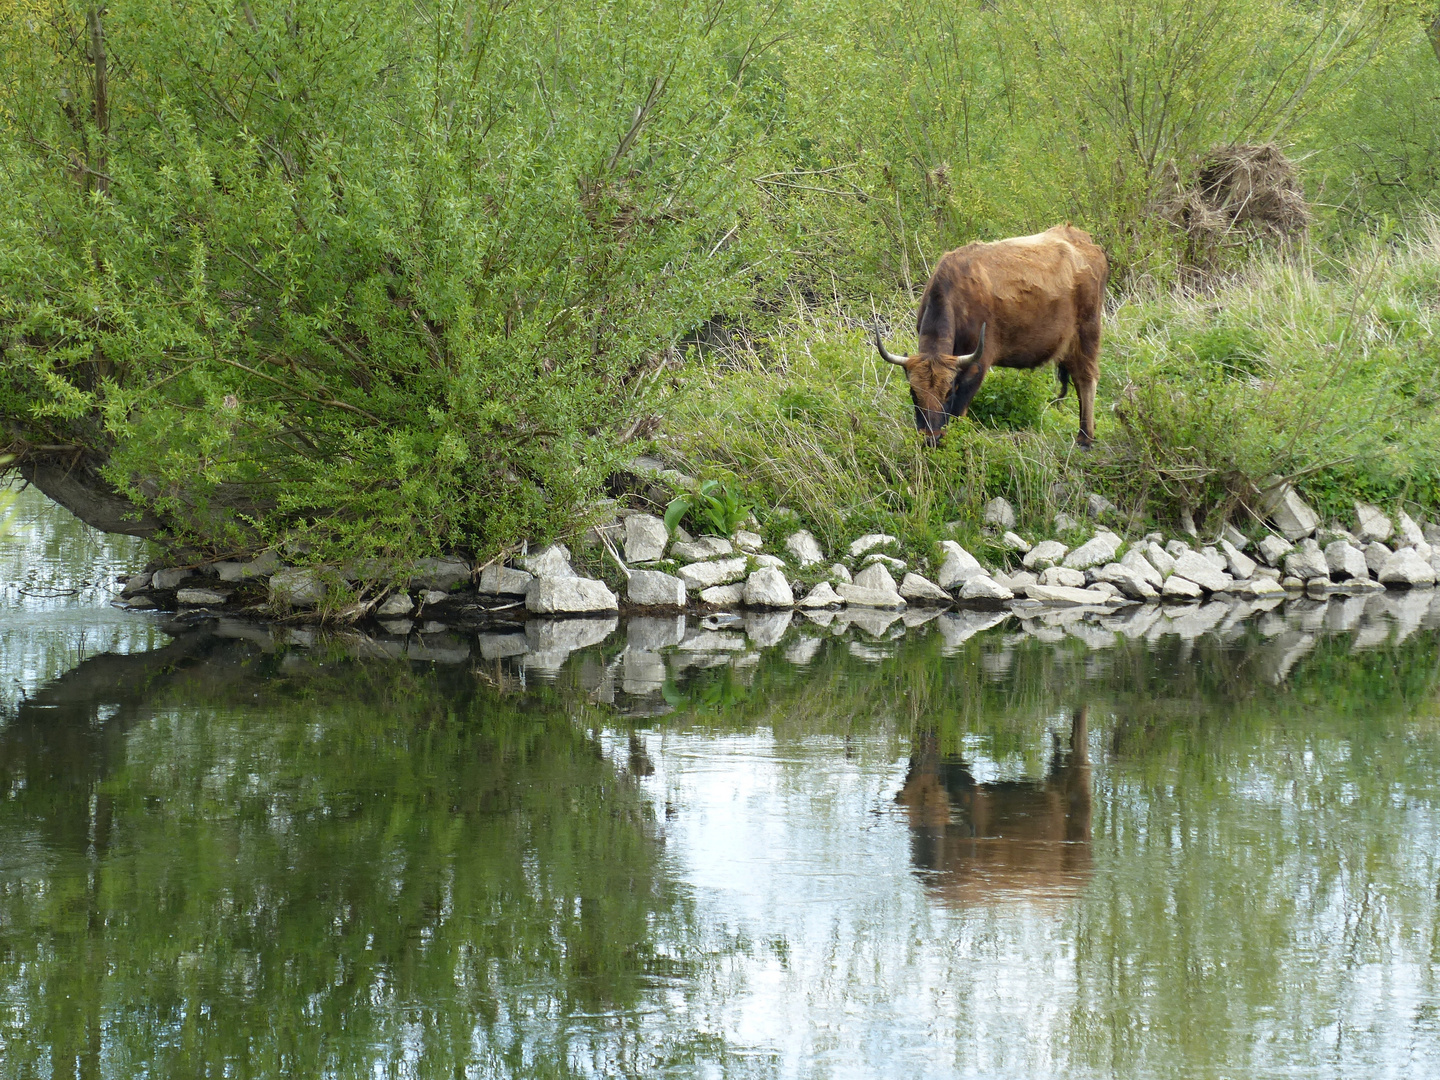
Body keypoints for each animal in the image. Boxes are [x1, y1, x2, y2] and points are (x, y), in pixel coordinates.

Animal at [869, 224, 1105, 449]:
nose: (931, 439)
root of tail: (1082, 239)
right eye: (914, 393)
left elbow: (958, 412)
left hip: (1088, 332)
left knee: (1086, 379)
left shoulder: (977, 364)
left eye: (948, 392)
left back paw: (1085, 438)